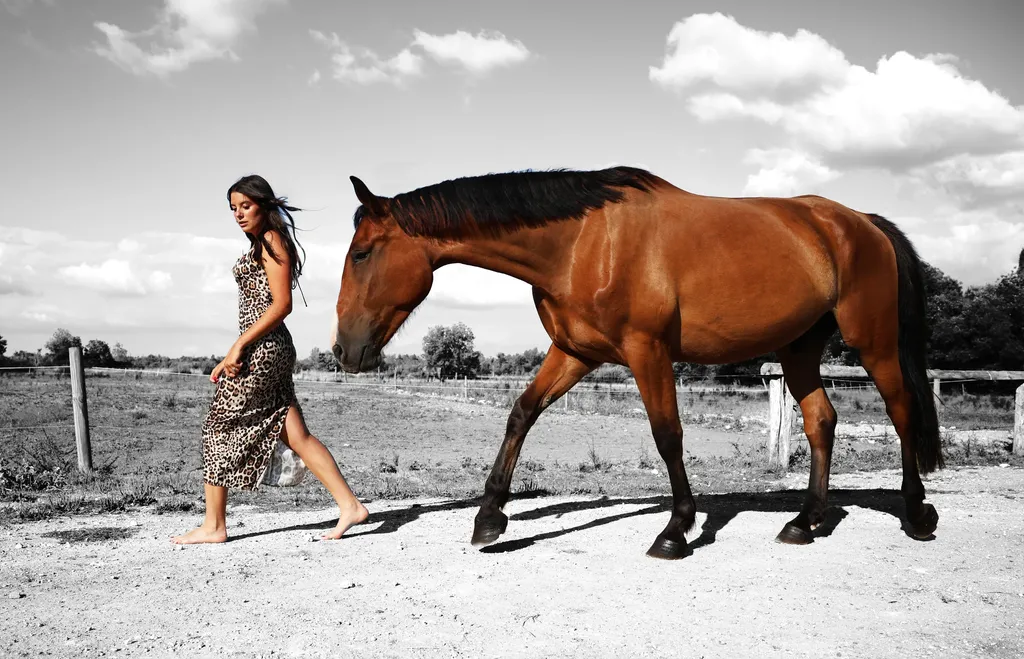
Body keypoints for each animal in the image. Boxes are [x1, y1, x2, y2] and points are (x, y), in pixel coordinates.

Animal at [332, 166, 942, 560]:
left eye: (361, 254)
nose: (343, 350)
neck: (580, 243)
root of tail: (859, 221)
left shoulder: (646, 351)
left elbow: (667, 434)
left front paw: (675, 530)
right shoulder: (576, 353)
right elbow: (521, 413)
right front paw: (489, 519)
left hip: (873, 342)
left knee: (902, 411)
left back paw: (916, 514)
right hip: (798, 348)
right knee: (821, 421)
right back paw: (805, 521)